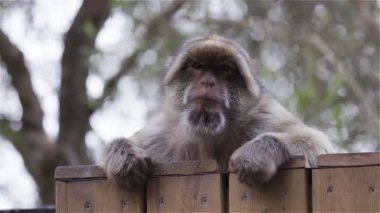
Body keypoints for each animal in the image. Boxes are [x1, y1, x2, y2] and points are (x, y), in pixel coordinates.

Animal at [100, 34, 332, 187]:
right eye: (197, 66)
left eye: (226, 69)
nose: (208, 82)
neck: (208, 135)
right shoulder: (159, 136)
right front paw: (124, 156)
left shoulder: (265, 117)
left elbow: (319, 145)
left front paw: (256, 153)